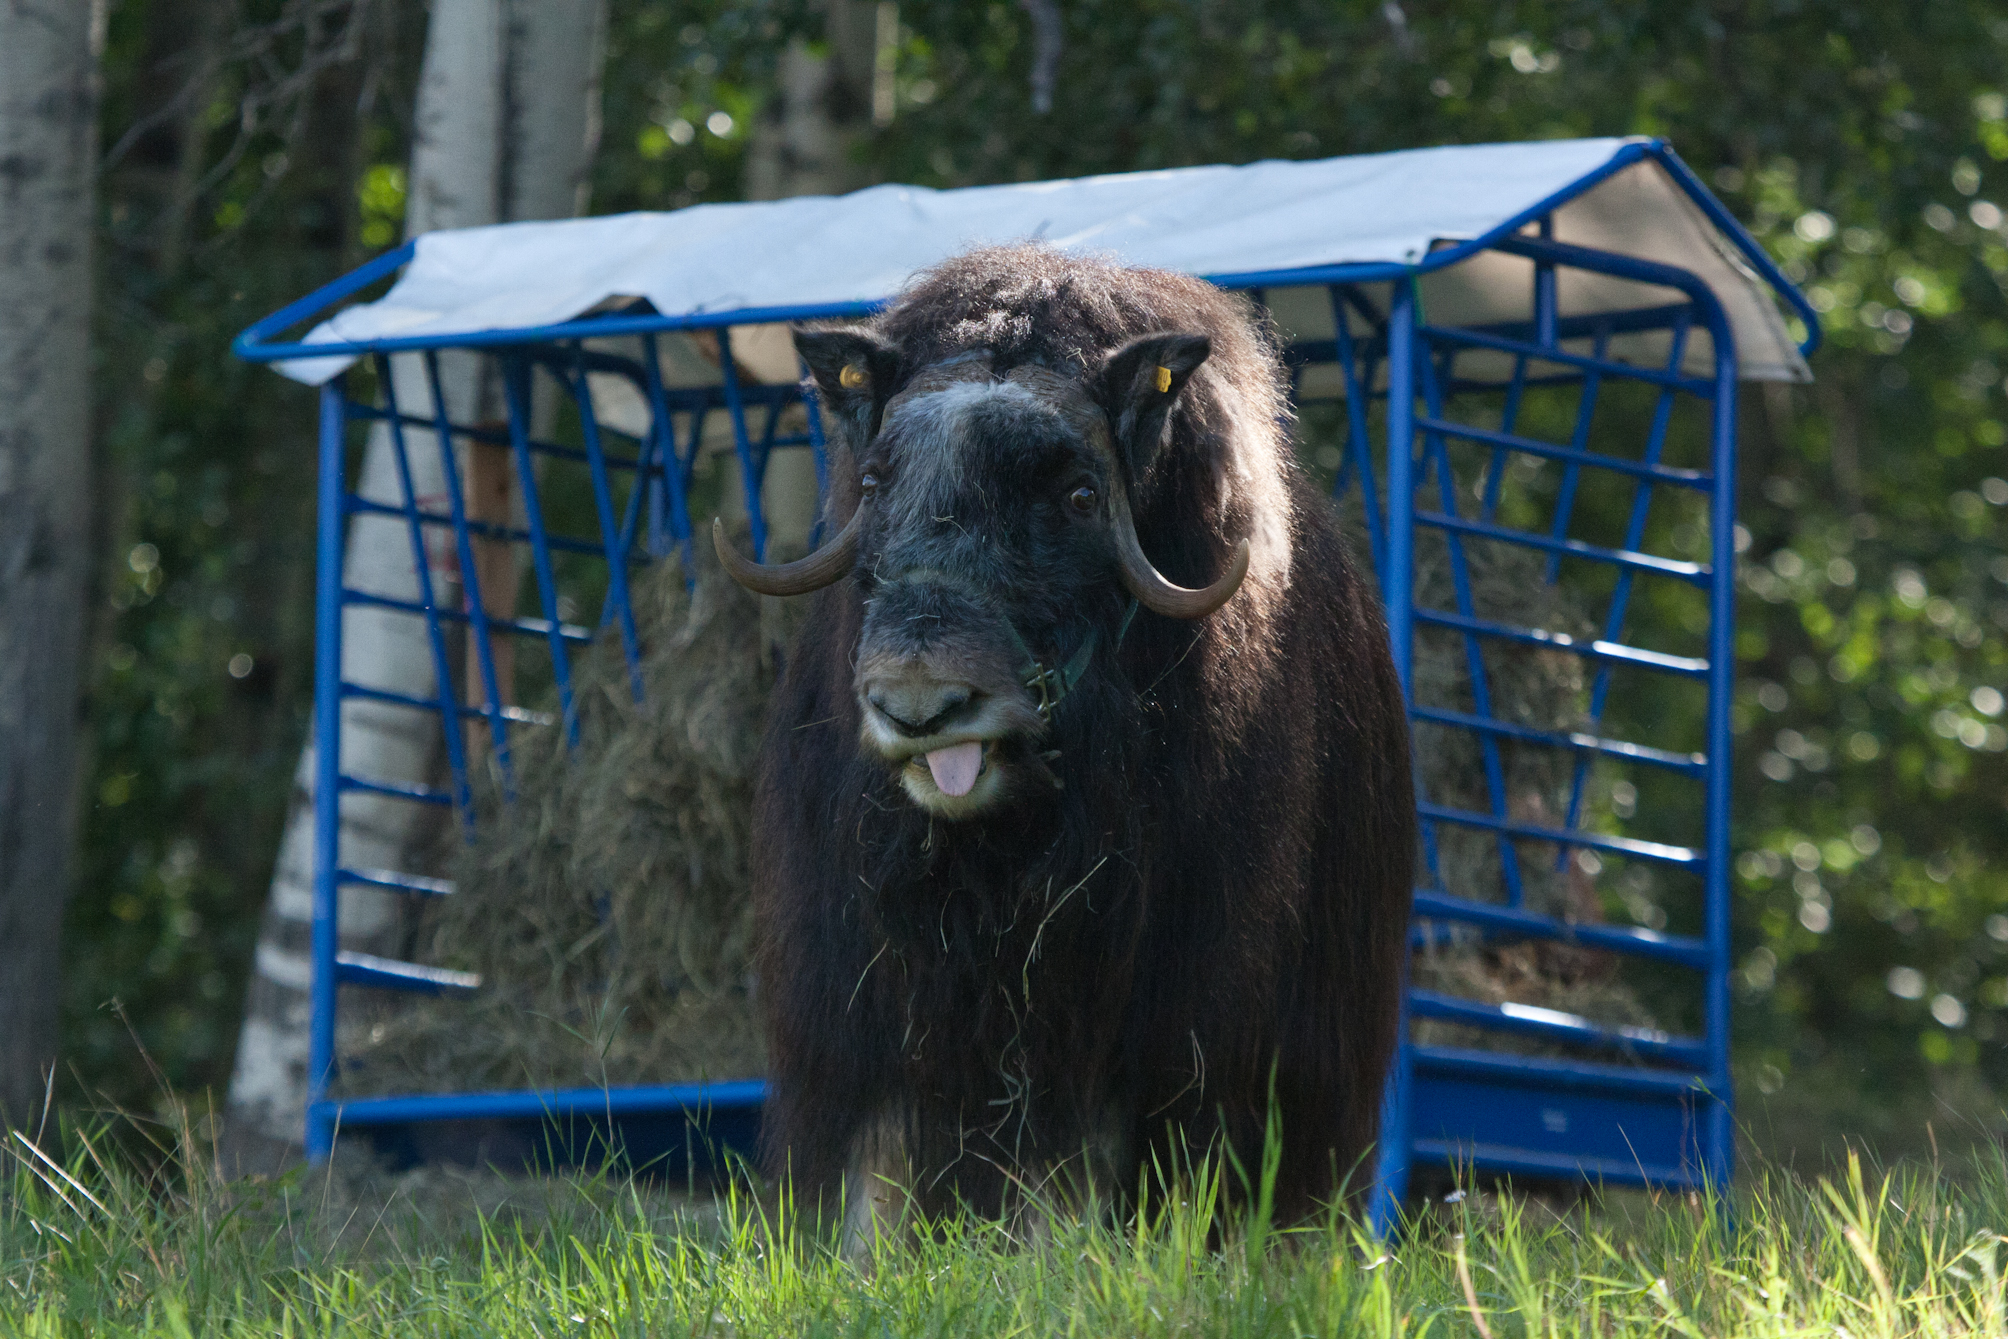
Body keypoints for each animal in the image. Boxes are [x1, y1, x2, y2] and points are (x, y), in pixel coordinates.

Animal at [714, 244, 1414, 1243]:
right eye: (878, 482)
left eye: (1080, 495)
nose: (919, 703)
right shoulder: (868, 1010)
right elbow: (879, 1173)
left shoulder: (1143, 1019)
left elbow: (1075, 1174)